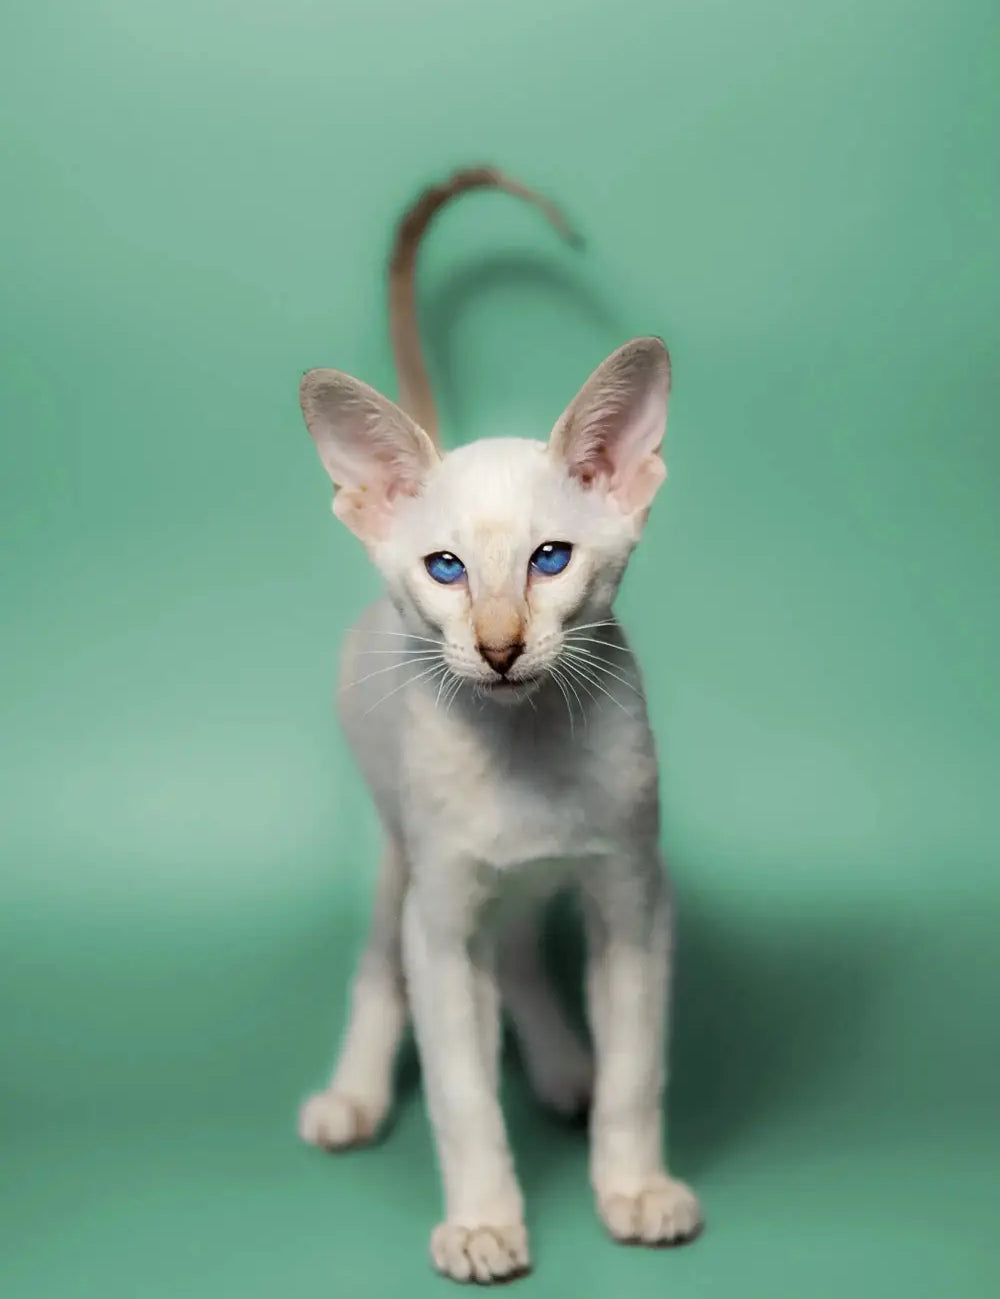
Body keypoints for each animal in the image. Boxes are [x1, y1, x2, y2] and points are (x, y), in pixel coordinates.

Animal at [296, 162, 701, 1278]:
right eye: (446, 569)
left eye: (549, 560)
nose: (499, 646)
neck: (524, 751)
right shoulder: (440, 920)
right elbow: (462, 1092)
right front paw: (484, 1220)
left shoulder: (633, 898)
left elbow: (641, 1069)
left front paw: (633, 1187)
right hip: (405, 854)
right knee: (378, 970)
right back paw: (351, 1098)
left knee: (519, 948)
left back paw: (564, 1070)